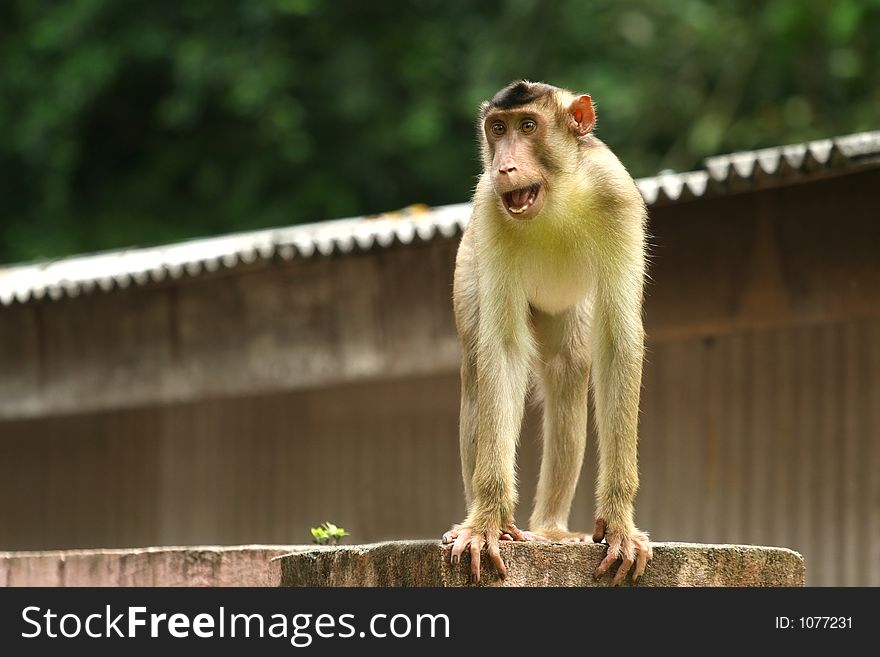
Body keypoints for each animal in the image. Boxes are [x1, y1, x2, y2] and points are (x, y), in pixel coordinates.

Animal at [440, 79, 652, 588]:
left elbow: (617, 343)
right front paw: (486, 524)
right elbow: (502, 350)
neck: (558, 199)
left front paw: (619, 525)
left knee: (568, 372)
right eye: (498, 129)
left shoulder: (618, 199)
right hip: (470, 263)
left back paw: (552, 529)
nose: (504, 166)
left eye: (528, 126)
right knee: (478, 371)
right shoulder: (489, 213)